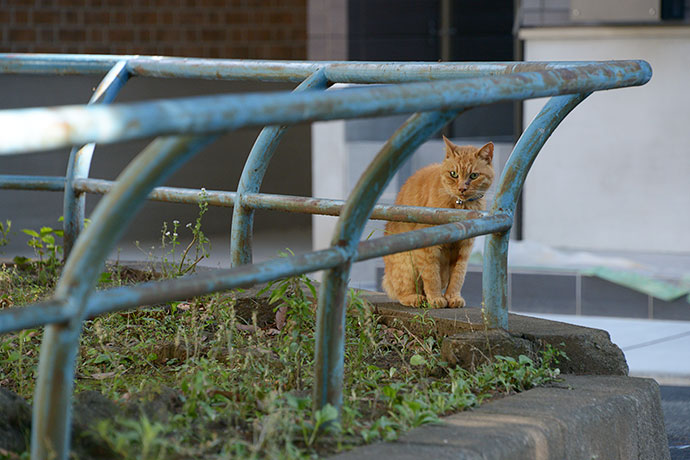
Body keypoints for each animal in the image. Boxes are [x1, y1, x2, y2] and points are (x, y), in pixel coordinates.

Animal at [382, 137, 490, 310]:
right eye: (453, 174)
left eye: (474, 175)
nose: (462, 188)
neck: (460, 207)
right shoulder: (428, 249)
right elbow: (432, 276)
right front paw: (436, 298)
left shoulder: (463, 250)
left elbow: (458, 277)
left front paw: (453, 297)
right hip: (406, 263)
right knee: (402, 291)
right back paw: (416, 298)